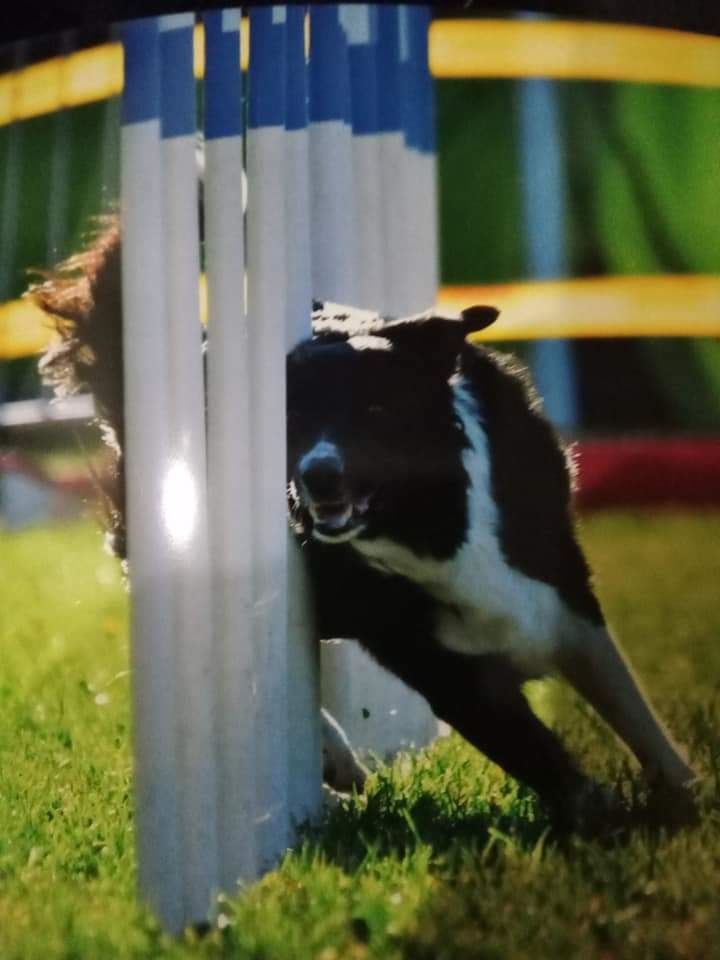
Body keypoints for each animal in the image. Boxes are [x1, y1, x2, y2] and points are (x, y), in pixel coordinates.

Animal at [35, 225, 696, 832]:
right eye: (289, 416)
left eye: (376, 410)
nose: (318, 475)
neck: (432, 524)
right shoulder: (438, 663)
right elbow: (536, 751)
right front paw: (598, 814)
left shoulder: (559, 589)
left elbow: (628, 703)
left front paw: (682, 796)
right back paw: (332, 772)